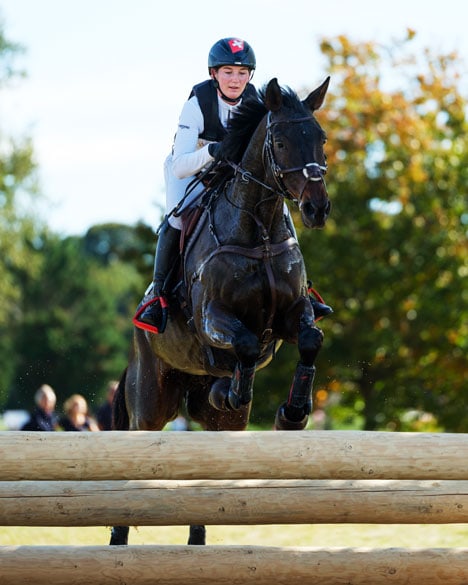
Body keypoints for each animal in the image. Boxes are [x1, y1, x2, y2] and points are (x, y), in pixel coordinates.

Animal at [110, 76, 330, 544]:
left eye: (320, 138)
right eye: (279, 142)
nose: (317, 208)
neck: (258, 232)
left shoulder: (293, 312)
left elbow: (310, 340)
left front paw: (292, 414)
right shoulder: (213, 318)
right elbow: (244, 344)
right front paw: (235, 388)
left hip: (214, 418)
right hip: (151, 400)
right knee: (135, 448)